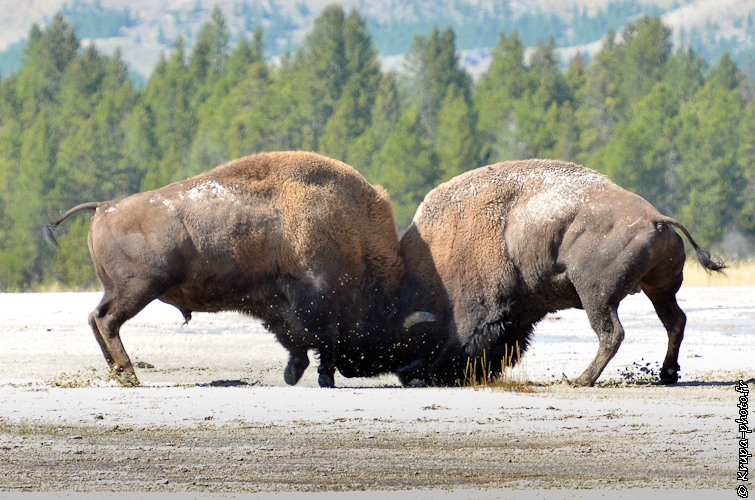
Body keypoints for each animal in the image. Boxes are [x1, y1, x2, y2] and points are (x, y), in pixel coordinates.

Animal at [45, 150, 438, 388]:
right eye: (388, 327)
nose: (359, 369)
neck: (352, 232)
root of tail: (105, 206)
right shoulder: (315, 301)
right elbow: (320, 340)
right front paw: (321, 378)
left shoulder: (277, 305)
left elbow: (296, 341)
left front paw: (293, 375)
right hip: (138, 289)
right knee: (108, 321)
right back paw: (129, 374)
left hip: (120, 289)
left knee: (95, 318)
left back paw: (118, 373)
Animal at [398, 159, 724, 386]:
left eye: (419, 339)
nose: (406, 375)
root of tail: (656, 218)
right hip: (658, 289)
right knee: (674, 322)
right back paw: (667, 374)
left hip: (596, 295)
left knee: (612, 333)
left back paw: (580, 380)